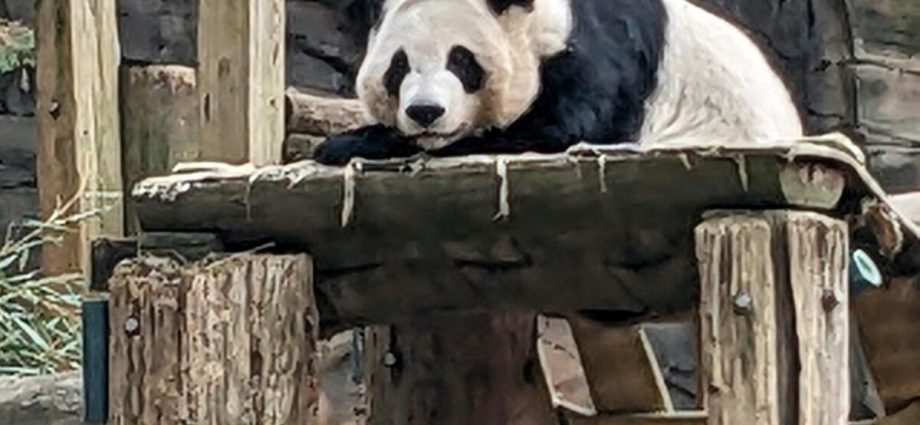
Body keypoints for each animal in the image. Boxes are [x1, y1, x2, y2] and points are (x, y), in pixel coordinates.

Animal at [313, 0, 803, 165]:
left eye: (462, 61)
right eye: (399, 67)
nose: (425, 112)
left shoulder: (600, 55)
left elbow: (560, 131)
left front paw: (350, 143)